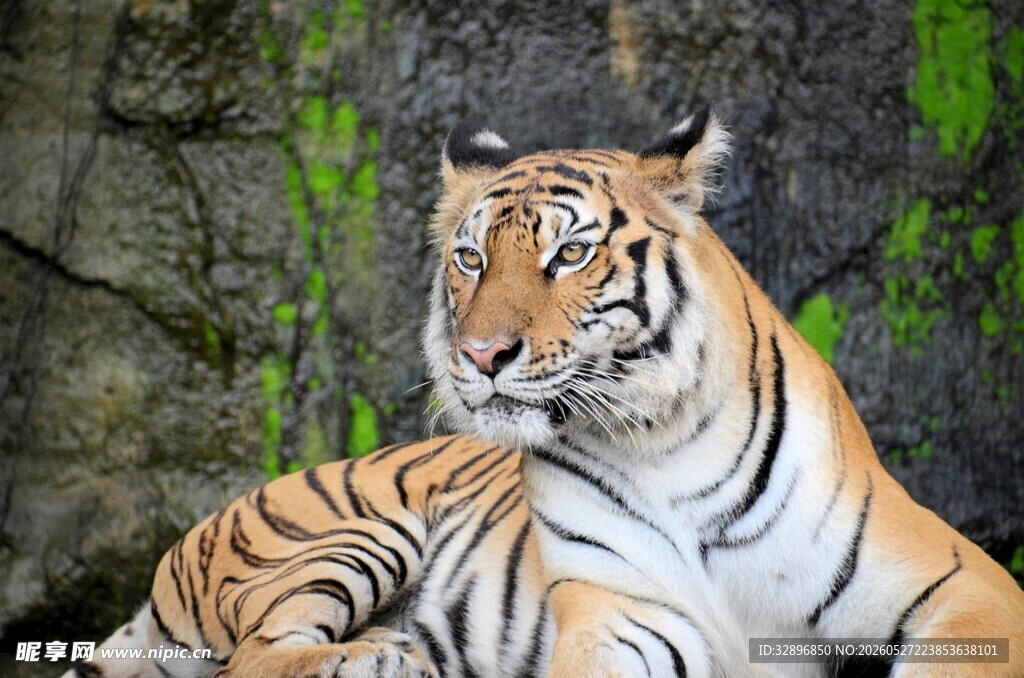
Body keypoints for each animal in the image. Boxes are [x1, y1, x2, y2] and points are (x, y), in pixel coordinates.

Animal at [70, 108, 1024, 678]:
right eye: (470, 258)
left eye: (569, 254)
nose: (482, 354)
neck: (663, 441)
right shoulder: (623, 615)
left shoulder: (966, 588)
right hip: (346, 534)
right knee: (259, 656)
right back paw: (387, 658)